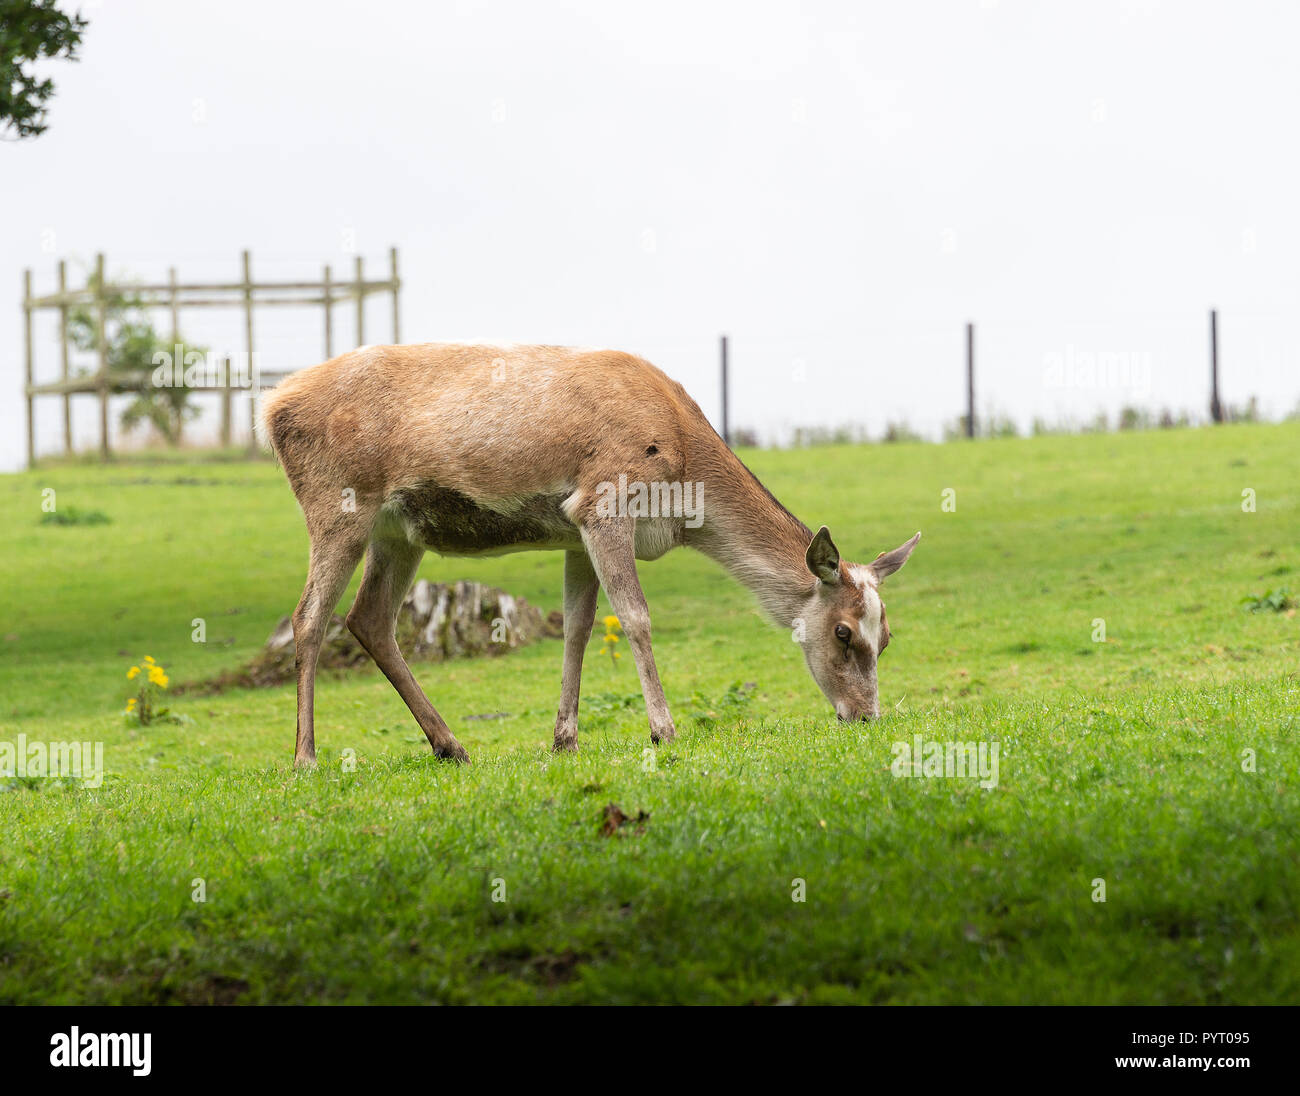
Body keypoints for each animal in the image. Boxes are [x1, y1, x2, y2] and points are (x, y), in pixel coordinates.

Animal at [258, 343, 920, 766]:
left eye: (887, 636)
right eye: (842, 633)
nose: (865, 716)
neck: (682, 477)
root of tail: (271, 406)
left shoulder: (573, 530)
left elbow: (577, 626)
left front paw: (565, 739)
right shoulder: (605, 501)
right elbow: (635, 617)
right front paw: (663, 731)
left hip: (398, 532)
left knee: (368, 617)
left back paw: (451, 746)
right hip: (337, 505)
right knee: (308, 617)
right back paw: (306, 758)